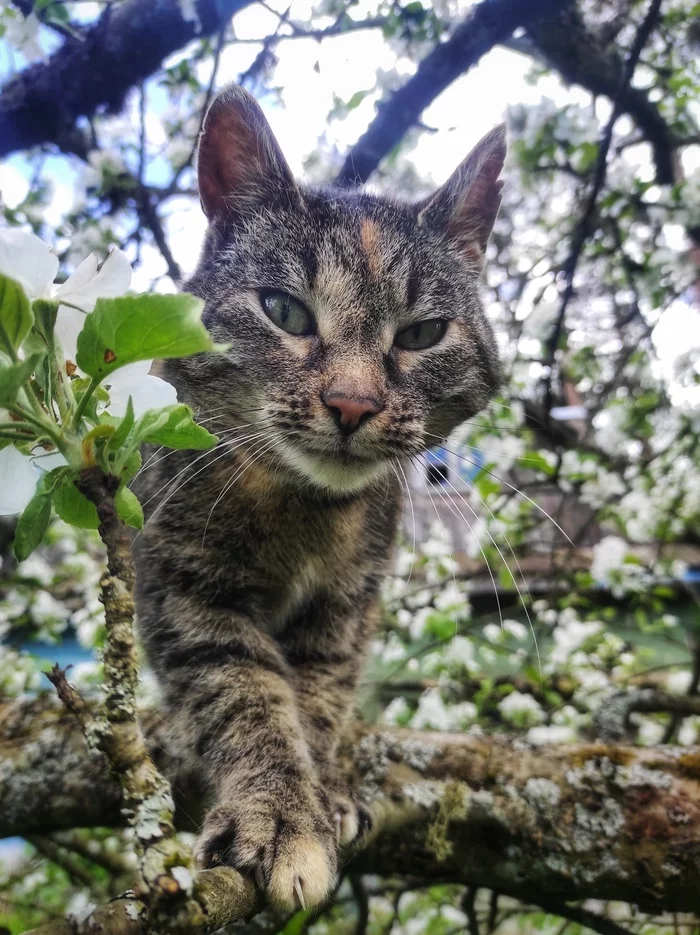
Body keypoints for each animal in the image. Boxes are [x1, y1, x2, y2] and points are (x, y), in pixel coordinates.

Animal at [131, 82, 504, 916]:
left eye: (423, 333)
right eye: (285, 311)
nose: (353, 403)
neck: (305, 512)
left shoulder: (345, 608)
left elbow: (318, 697)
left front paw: (322, 790)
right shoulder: (184, 588)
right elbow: (246, 695)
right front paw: (279, 813)